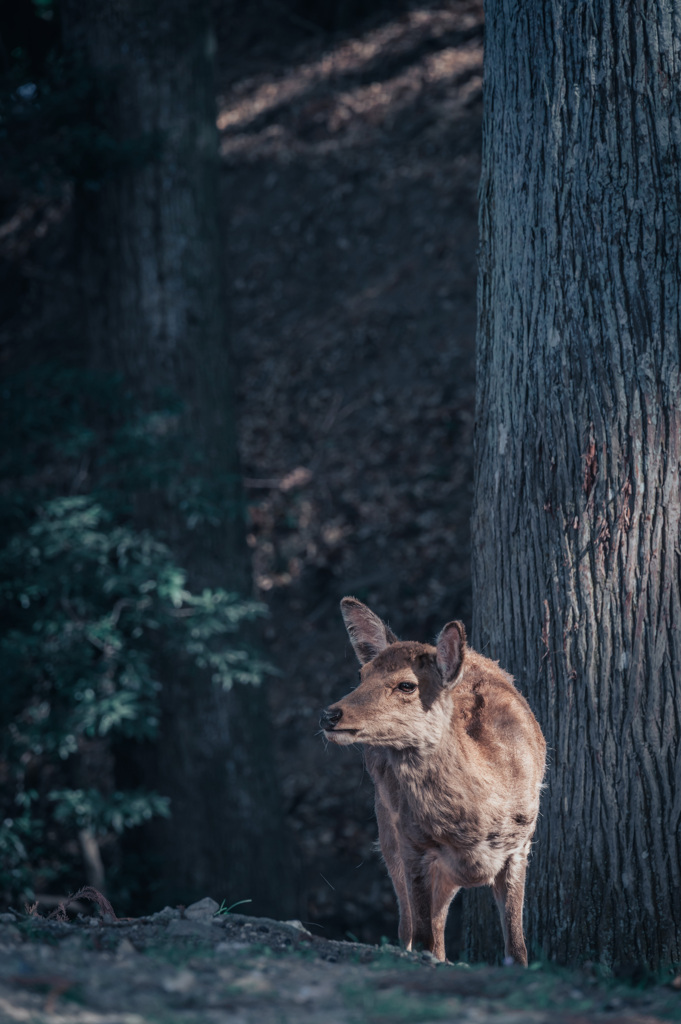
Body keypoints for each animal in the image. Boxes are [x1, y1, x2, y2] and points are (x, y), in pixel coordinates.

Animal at [319, 598, 548, 962]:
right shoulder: (413, 844)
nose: (330, 714)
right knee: (410, 927)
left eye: (407, 684)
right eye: (361, 675)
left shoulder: (521, 844)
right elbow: (423, 936)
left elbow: (517, 946)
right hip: (388, 828)